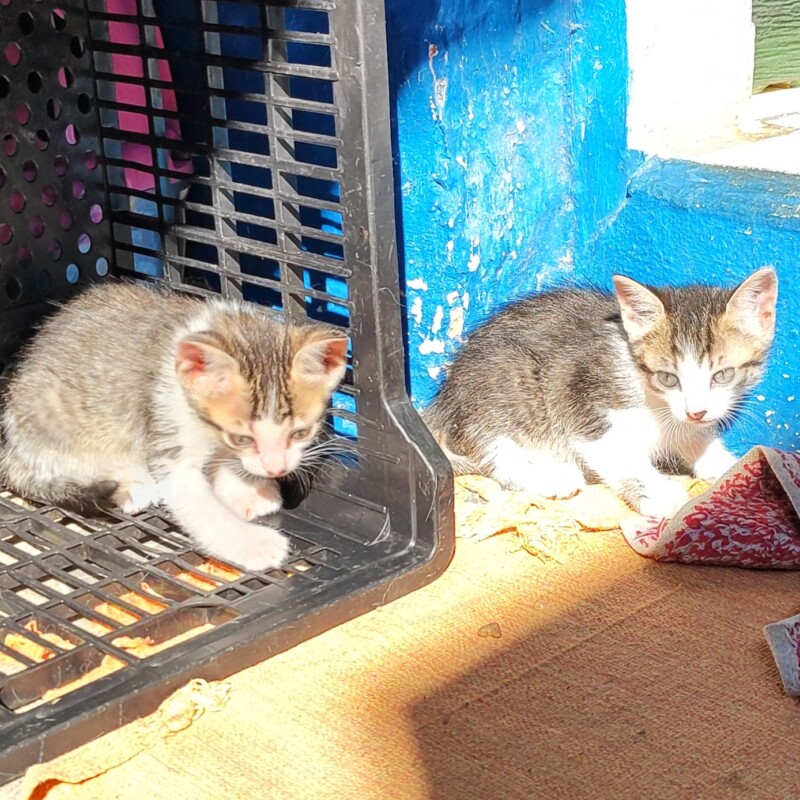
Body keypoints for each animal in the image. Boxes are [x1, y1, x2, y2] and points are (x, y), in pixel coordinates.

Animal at [1, 284, 348, 572]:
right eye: (242, 437)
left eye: (300, 433)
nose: (276, 469)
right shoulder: (167, 431)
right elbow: (202, 508)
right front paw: (255, 544)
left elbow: (223, 460)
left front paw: (247, 490)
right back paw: (131, 486)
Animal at [428, 268, 780, 520]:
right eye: (668, 378)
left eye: (723, 375)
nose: (696, 411)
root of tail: (445, 398)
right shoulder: (577, 395)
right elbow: (618, 453)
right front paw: (658, 493)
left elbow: (692, 435)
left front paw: (724, 464)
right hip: (506, 383)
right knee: (494, 454)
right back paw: (551, 477)